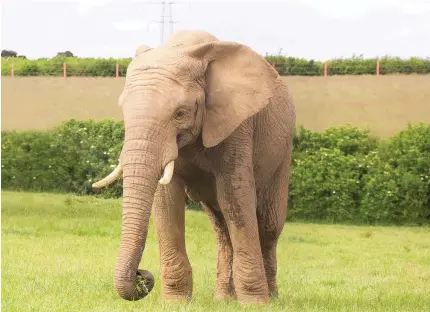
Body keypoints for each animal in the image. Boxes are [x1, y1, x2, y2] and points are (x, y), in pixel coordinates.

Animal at [92, 29, 296, 304]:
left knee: (268, 225)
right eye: (123, 110)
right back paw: (224, 300)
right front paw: (175, 303)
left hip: (283, 153)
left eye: (180, 113)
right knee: (221, 227)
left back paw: (270, 298)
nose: (142, 275)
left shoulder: (238, 126)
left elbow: (236, 197)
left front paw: (255, 305)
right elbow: (167, 201)